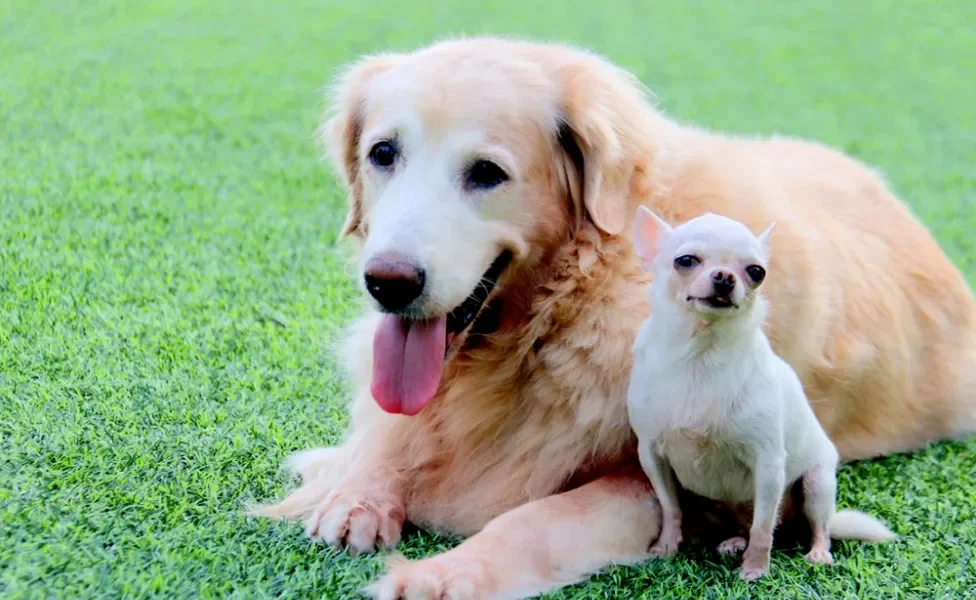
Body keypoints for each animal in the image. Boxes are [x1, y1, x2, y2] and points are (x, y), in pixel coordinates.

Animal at [624, 207, 892, 580]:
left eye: (757, 272)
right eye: (685, 260)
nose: (725, 277)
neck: (700, 354)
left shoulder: (768, 465)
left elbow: (763, 528)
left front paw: (755, 569)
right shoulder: (652, 456)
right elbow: (670, 507)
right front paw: (666, 547)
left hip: (816, 485)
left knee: (810, 525)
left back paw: (818, 552)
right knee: (748, 522)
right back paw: (735, 541)